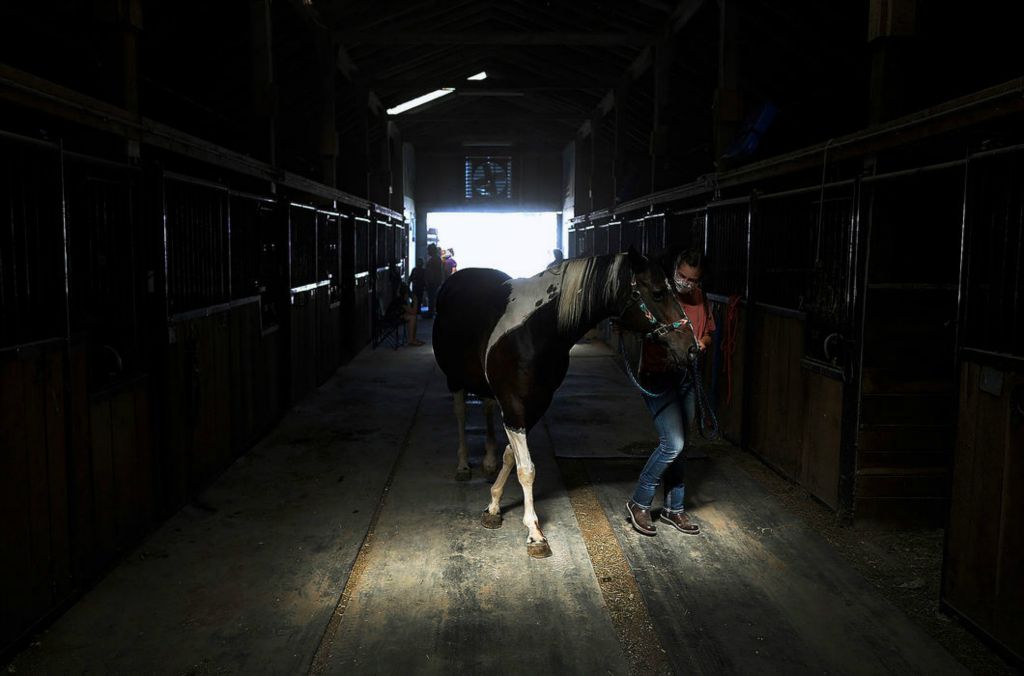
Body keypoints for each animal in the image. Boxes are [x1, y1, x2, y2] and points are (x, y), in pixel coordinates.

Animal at [428, 247, 700, 561]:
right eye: (657, 293)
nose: (691, 348)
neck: (536, 330)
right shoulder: (515, 404)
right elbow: (526, 468)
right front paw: (535, 534)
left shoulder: (536, 403)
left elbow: (511, 456)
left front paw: (494, 505)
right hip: (454, 379)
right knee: (460, 414)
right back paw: (463, 465)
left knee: (485, 408)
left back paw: (487, 461)